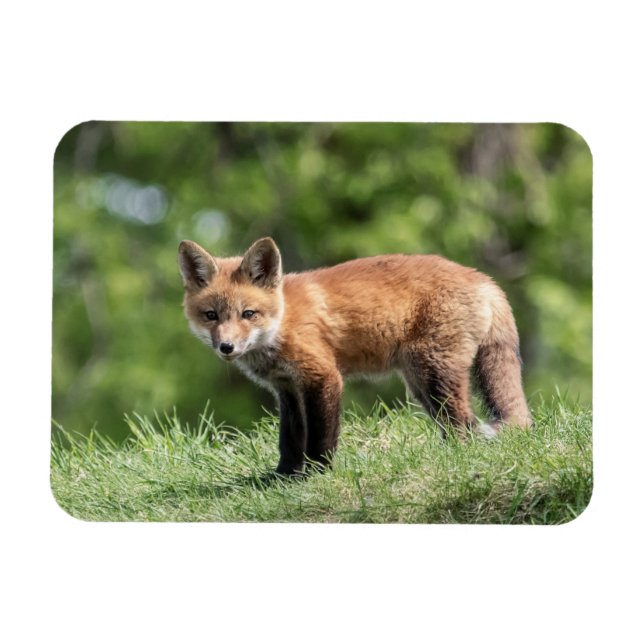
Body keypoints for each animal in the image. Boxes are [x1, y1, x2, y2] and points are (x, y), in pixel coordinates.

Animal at [179, 237, 531, 475]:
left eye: (248, 314)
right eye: (211, 315)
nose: (226, 347)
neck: (283, 321)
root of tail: (483, 279)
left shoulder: (323, 377)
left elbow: (320, 436)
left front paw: (317, 475)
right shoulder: (287, 388)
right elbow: (289, 439)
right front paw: (283, 477)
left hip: (433, 374)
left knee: (464, 424)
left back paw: (454, 458)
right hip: (420, 383)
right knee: (459, 423)